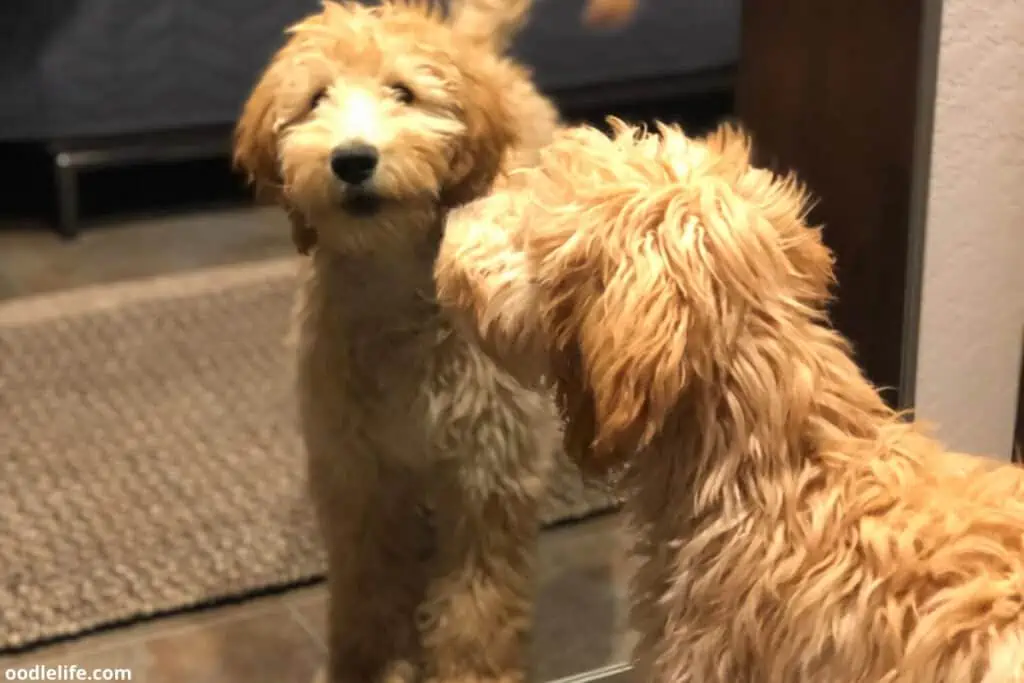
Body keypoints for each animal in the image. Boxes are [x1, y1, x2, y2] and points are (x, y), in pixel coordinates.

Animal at [231, 1, 638, 683]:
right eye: (316, 99)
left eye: (404, 93)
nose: (352, 159)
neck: (399, 298)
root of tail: (470, 49)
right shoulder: (358, 471)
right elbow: (366, 589)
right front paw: (365, 664)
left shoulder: (486, 476)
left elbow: (477, 607)